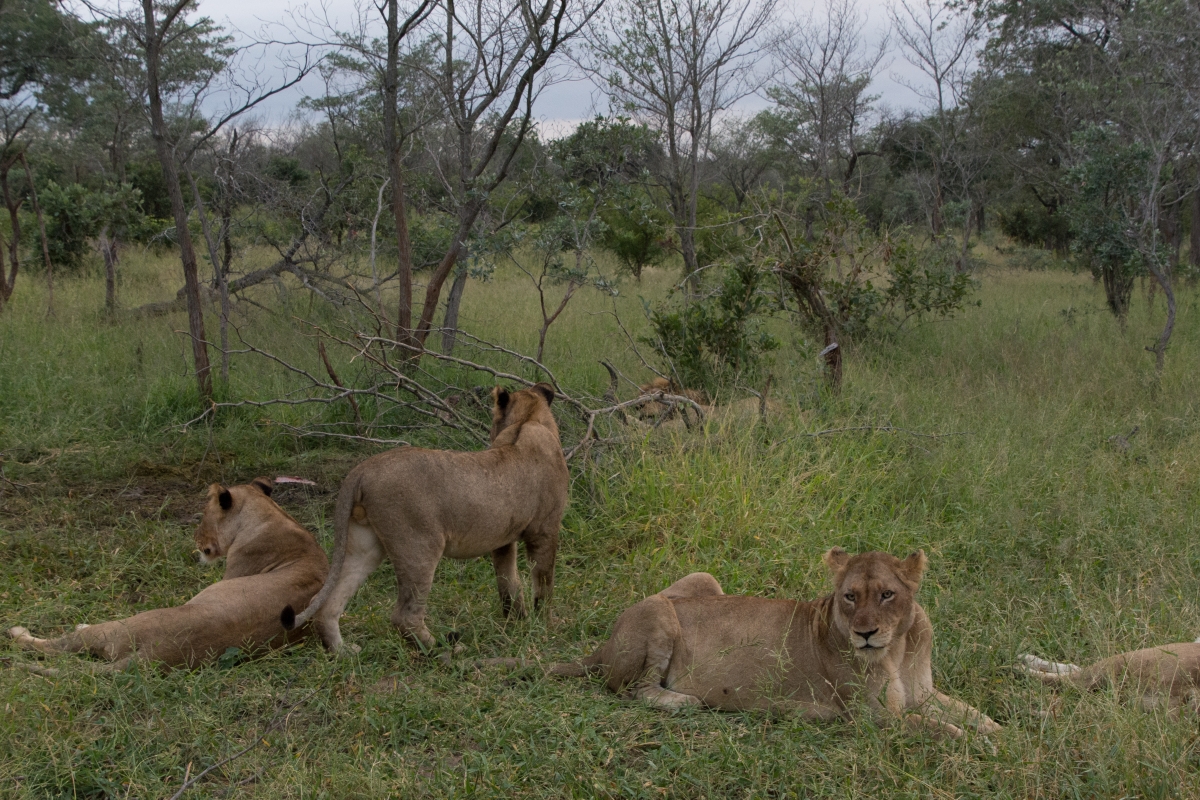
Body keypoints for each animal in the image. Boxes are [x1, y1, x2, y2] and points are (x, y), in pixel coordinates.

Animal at [7, 479, 328, 671]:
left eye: (201, 516)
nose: (195, 539)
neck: (272, 515)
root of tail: (153, 655)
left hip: (119, 628)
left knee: (59, 646)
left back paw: (23, 632)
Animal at [290, 383, 571, 652]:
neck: (527, 420)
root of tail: (361, 470)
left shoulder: (503, 539)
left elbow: (509, 583)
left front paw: (517, 620)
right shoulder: (545, 530)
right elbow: (544, 581)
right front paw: (546, 625)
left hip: (365, 546)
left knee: (328, 604)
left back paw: (344, 652)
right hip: (420, 546)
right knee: (404, 616)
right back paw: (444, 650)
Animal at [482, 546, 998, 743]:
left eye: (888, 595)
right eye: (851, 597)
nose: (865, 633)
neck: (896, 647)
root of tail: (602, 646)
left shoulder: (923, 693)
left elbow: (966, 712)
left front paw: (998, 730)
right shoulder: (868, 718)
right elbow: (934, 728)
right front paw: (978, 745)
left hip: (703, 580)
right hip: (658, 614)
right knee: (632, 689)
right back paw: (684, 701)